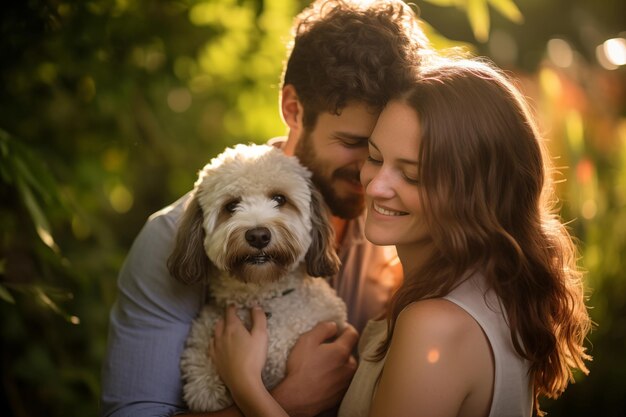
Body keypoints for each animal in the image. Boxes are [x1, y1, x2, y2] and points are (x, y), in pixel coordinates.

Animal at [166, 145, 346, 412]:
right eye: (231, 206)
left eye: (279, 199)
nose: (258, 235)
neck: (262, 299)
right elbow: (203, 386)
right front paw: (208, 388)